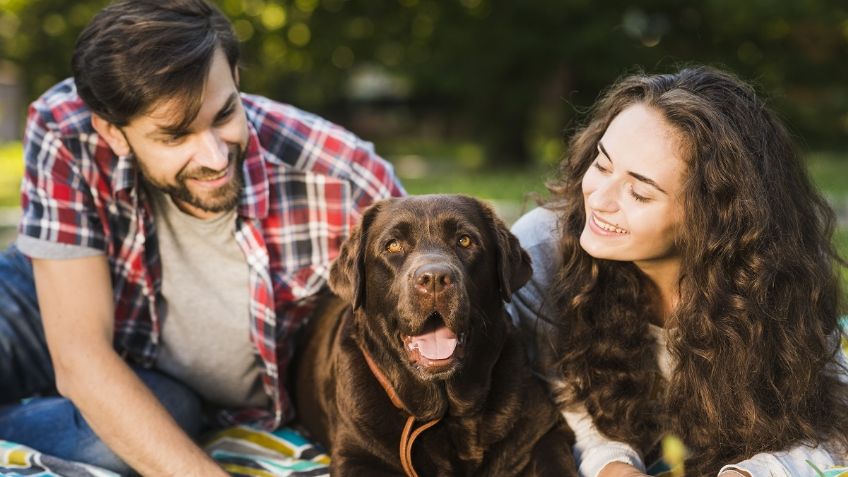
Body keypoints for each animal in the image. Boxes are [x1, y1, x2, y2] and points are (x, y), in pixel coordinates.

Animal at [292, 195, 576, 474]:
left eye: (464, 240)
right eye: (393, 246)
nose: (434, 278)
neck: (449, 413)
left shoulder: (544, 432)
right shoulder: (356, 454)